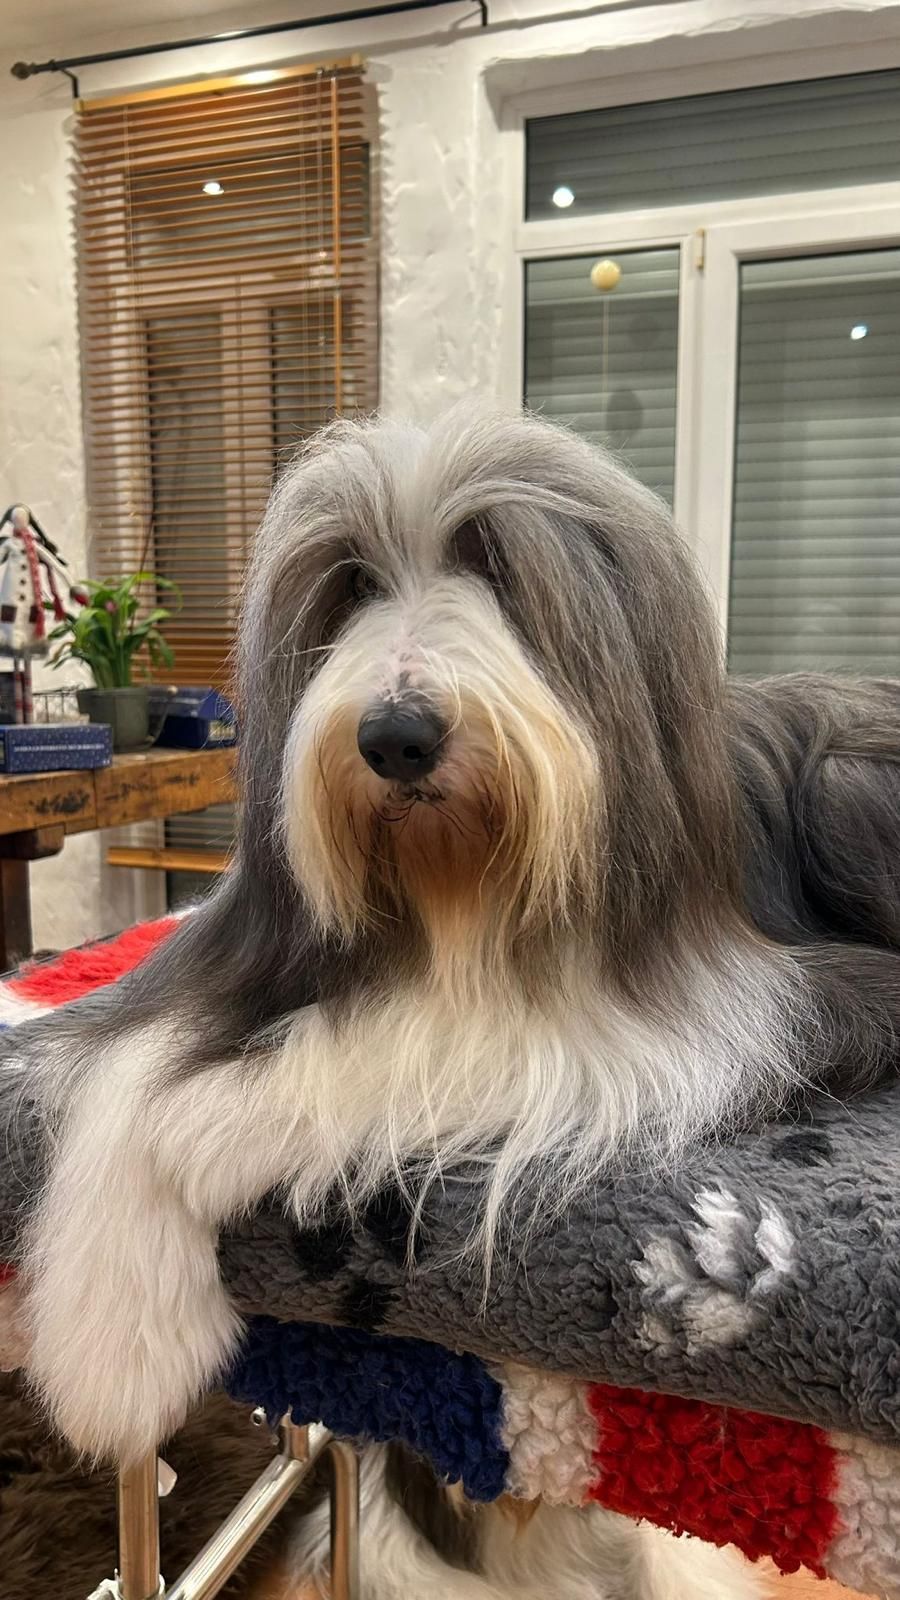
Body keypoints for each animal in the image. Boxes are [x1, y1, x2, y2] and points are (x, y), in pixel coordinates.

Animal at [11, 410, 900, 1598]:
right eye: (349, 582)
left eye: (495, 562)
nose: (396, 736)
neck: (454, 891)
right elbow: (116, 1067)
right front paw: (112, 1326)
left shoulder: (726, 1006)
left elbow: (420, 1046)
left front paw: (203, 1137)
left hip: (849, 783)